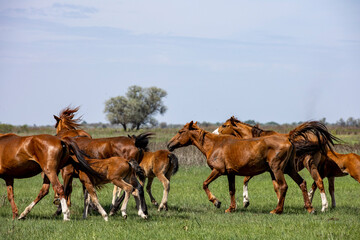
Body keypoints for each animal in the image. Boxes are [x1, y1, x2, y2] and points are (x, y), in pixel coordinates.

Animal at [166, 122, 334, 214]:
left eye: (181, 131)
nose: (169, 145)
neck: (215, 145)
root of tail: (288, 138)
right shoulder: (230, 174)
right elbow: (232, 190)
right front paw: (231, 208)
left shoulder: (218, 171)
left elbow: (205, 184)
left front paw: (216, 202)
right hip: (289, 169)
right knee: (302, 183)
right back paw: (310, 208)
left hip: (278, 169)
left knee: (284, 186)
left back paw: (278, 210)